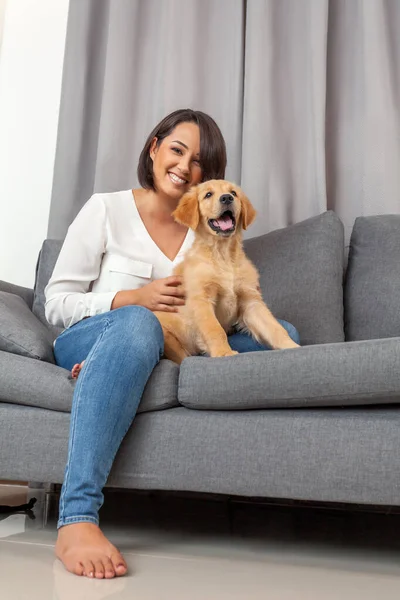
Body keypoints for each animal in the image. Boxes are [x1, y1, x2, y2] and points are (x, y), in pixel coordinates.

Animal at [156, 180, 300, 364]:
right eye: (208, 194)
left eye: (233, 193)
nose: (226, 198)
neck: (223, 254)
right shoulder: (202, 300)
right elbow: (215, 330)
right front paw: (223, 353)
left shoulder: (250, 300)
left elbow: (275, 327)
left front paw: (292, 347)